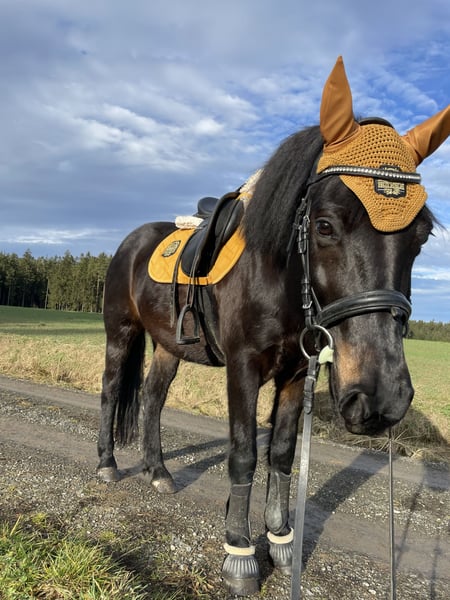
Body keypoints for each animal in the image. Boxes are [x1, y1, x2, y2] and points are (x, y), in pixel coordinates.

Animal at [97, 57, 450, 596]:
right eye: (324, 225)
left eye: (423, 234)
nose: (382, 399)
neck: (279, 277)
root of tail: (132, 241)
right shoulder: (242, 368)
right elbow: (244, 453)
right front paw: (240, 552)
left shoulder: (295, 373)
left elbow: (282, 453)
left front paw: (282, 539)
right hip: (120, 333)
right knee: (112, 389)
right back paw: (107, 464)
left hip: (167, 348)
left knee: (153, 398)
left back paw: (158, 471)